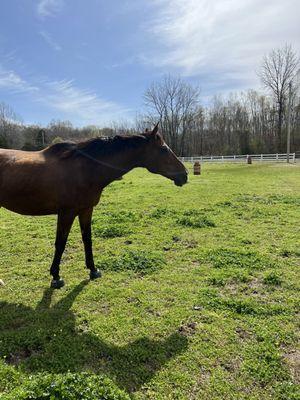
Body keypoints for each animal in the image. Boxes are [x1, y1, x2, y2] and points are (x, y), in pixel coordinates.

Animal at [0, 124, 186, 288]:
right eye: (164, 149)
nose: (184, 175)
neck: (84, 169)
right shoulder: (66, 213)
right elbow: (60, 244)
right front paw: (56, 277)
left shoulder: (86, 210)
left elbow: (87, 239)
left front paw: (93, 270)